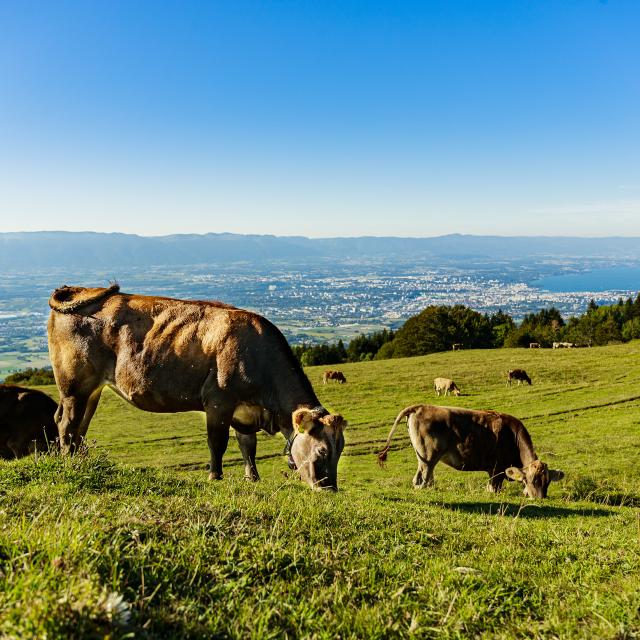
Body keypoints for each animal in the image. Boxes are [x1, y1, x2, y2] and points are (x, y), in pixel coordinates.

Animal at [47, 284, 348, 490]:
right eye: (322, 451)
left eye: (340, 450)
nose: (328, 489)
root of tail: (79, 289)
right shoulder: (219, 402)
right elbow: (218, 442)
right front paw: (215, 476)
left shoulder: (244, 413)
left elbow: (247, 446)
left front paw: (252, 478)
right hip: (74, 385)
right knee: (67, 423)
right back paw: (69, 463)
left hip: (90, 390)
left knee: (77, 425)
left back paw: (80, 460)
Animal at [378, 404, 564, 500]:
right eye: (531, 480)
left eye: (547, 482)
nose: (540, 499)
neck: (513, 437)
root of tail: (421, 406)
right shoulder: (496, 470)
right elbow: (492, 489)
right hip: (428, 457)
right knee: (422, 481)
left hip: (423, 458)